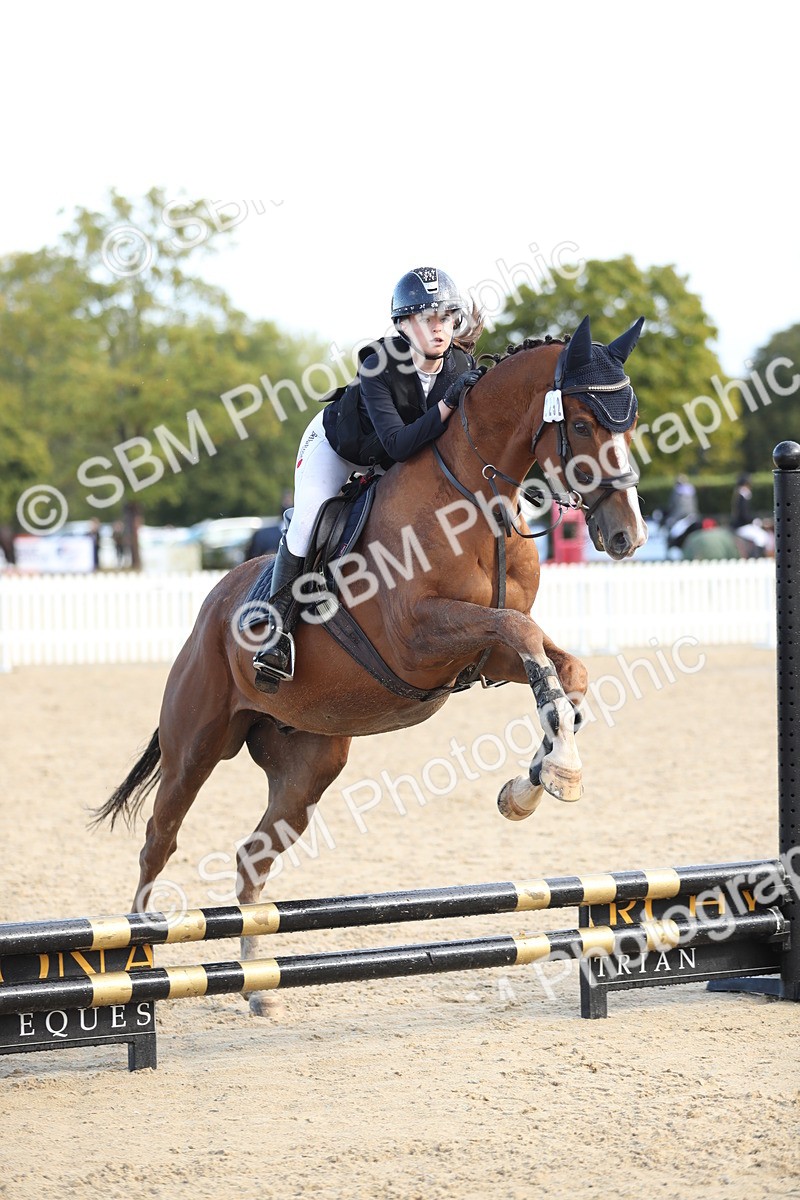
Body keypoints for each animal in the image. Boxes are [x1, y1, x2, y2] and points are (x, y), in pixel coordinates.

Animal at [94, 315, 647, 1004]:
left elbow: (563, 668)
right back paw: (140, 965)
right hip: (196, 744)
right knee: (157, 842)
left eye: (631, 421)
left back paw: (258, 988)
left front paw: (534, 783)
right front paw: (557, 773)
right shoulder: (420, 639)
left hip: (308, 766)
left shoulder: (485, 656)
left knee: (252, 857)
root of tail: (210, 612)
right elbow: (523, 631)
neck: (474, 497)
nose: (628, 536)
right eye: (584, 424)